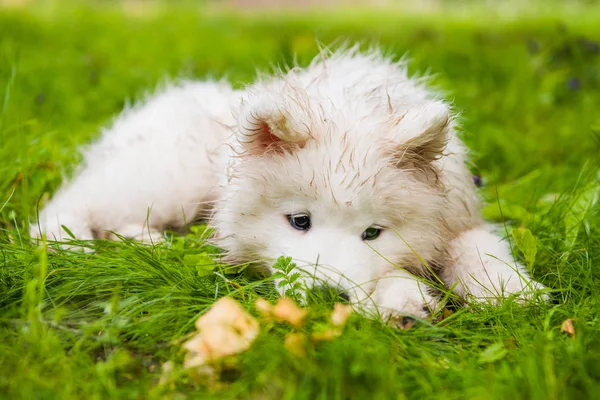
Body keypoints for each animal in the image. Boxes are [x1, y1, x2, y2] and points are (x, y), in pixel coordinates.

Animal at [30, 47, 548, 322]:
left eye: (373, 232)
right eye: (299, 221)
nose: (325, 297)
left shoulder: (458, 212)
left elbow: (477, 245)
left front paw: (506, 287)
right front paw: (404, 297)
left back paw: (153, 244)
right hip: (171, 177)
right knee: (74, 202)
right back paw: (67, 242)